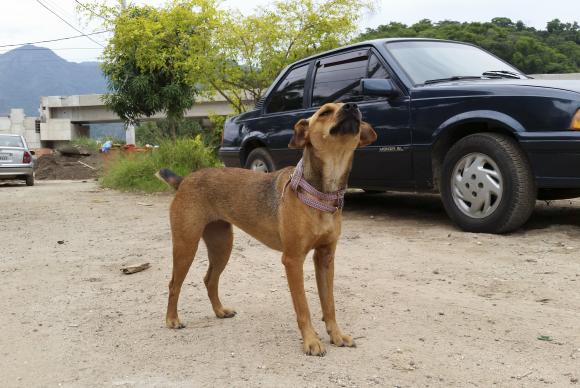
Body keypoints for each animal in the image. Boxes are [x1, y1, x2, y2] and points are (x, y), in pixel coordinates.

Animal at [156, 101, 378, 356]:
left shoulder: (325, 258)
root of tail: (184, 180)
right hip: (186, 246)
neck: (321, 192)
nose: (353, 106)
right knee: (174, 283)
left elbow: (329, 304)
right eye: (325, 112)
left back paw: (220, 311)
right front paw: (311, 340)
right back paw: (172, 319)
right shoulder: (293, 260)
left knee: (209, 279)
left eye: (355, 107)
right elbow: (303, 307)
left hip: (222, 246)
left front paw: (336, 335)